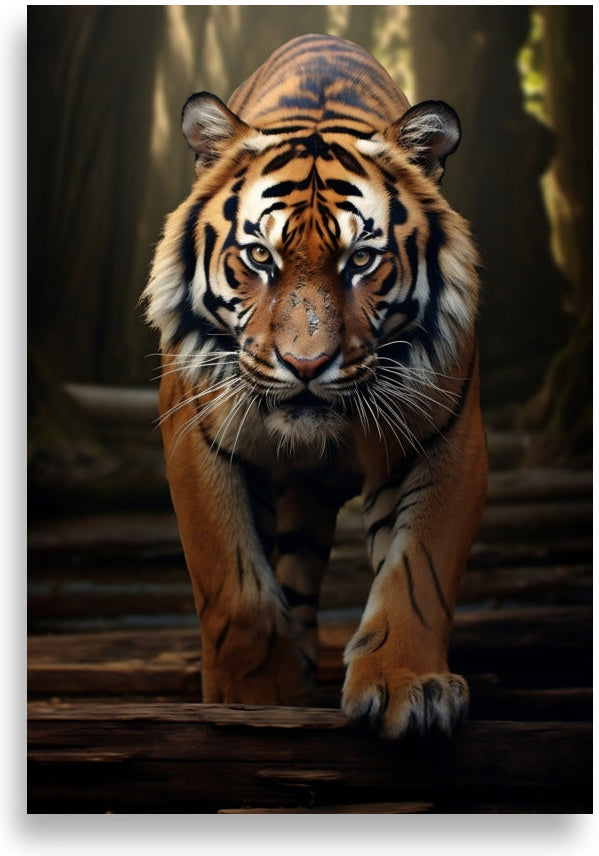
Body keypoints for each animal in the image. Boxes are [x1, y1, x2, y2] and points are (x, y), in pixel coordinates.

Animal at [142, 33, 487, 739]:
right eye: (260, 257)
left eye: (361, 260)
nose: (306, 365)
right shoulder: (198, 439)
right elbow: (233, 581)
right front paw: (253, 697)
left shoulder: (448, 439)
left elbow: (420, 570)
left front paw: (409, 687)